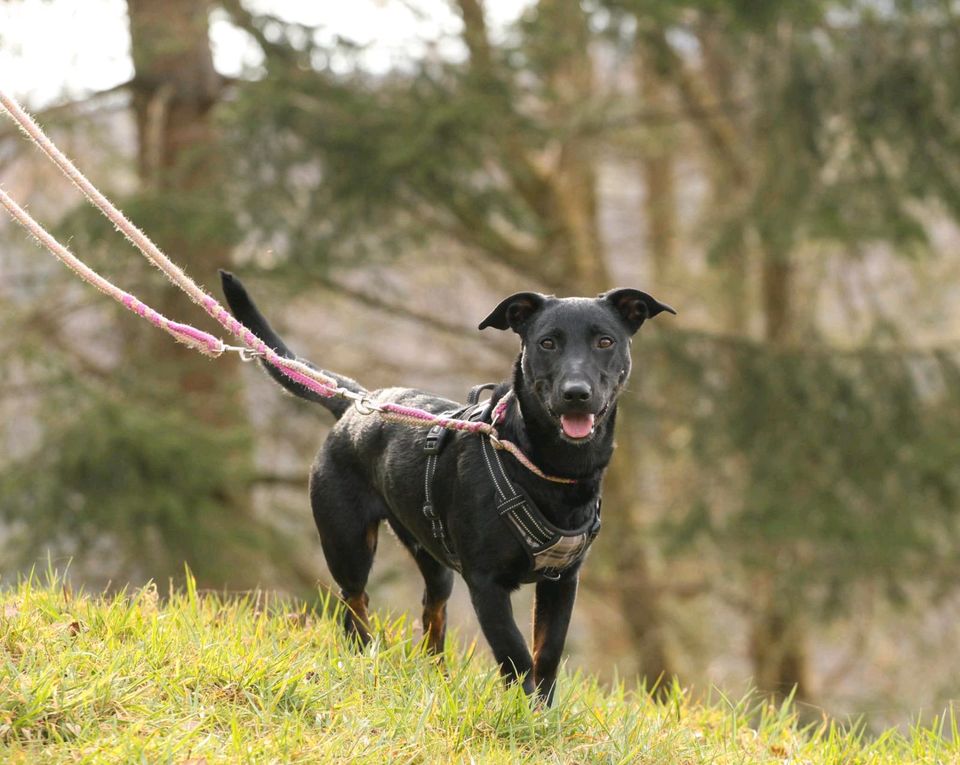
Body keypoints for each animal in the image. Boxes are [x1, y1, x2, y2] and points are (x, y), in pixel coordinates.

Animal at [221, 274, 676, 704]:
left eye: (605, 341)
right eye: (547, 342)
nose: (576, 394)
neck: (548, 468)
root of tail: (357, 403)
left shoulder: (563, 580)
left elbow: (547, 653)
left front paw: (544, 715)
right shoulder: (486, 583)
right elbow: (515, 654)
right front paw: (524, 714)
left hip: (432, 556)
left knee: (432, 611)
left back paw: (437, 678)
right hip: (346, 543)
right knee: (355, 601)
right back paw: (364, 656)